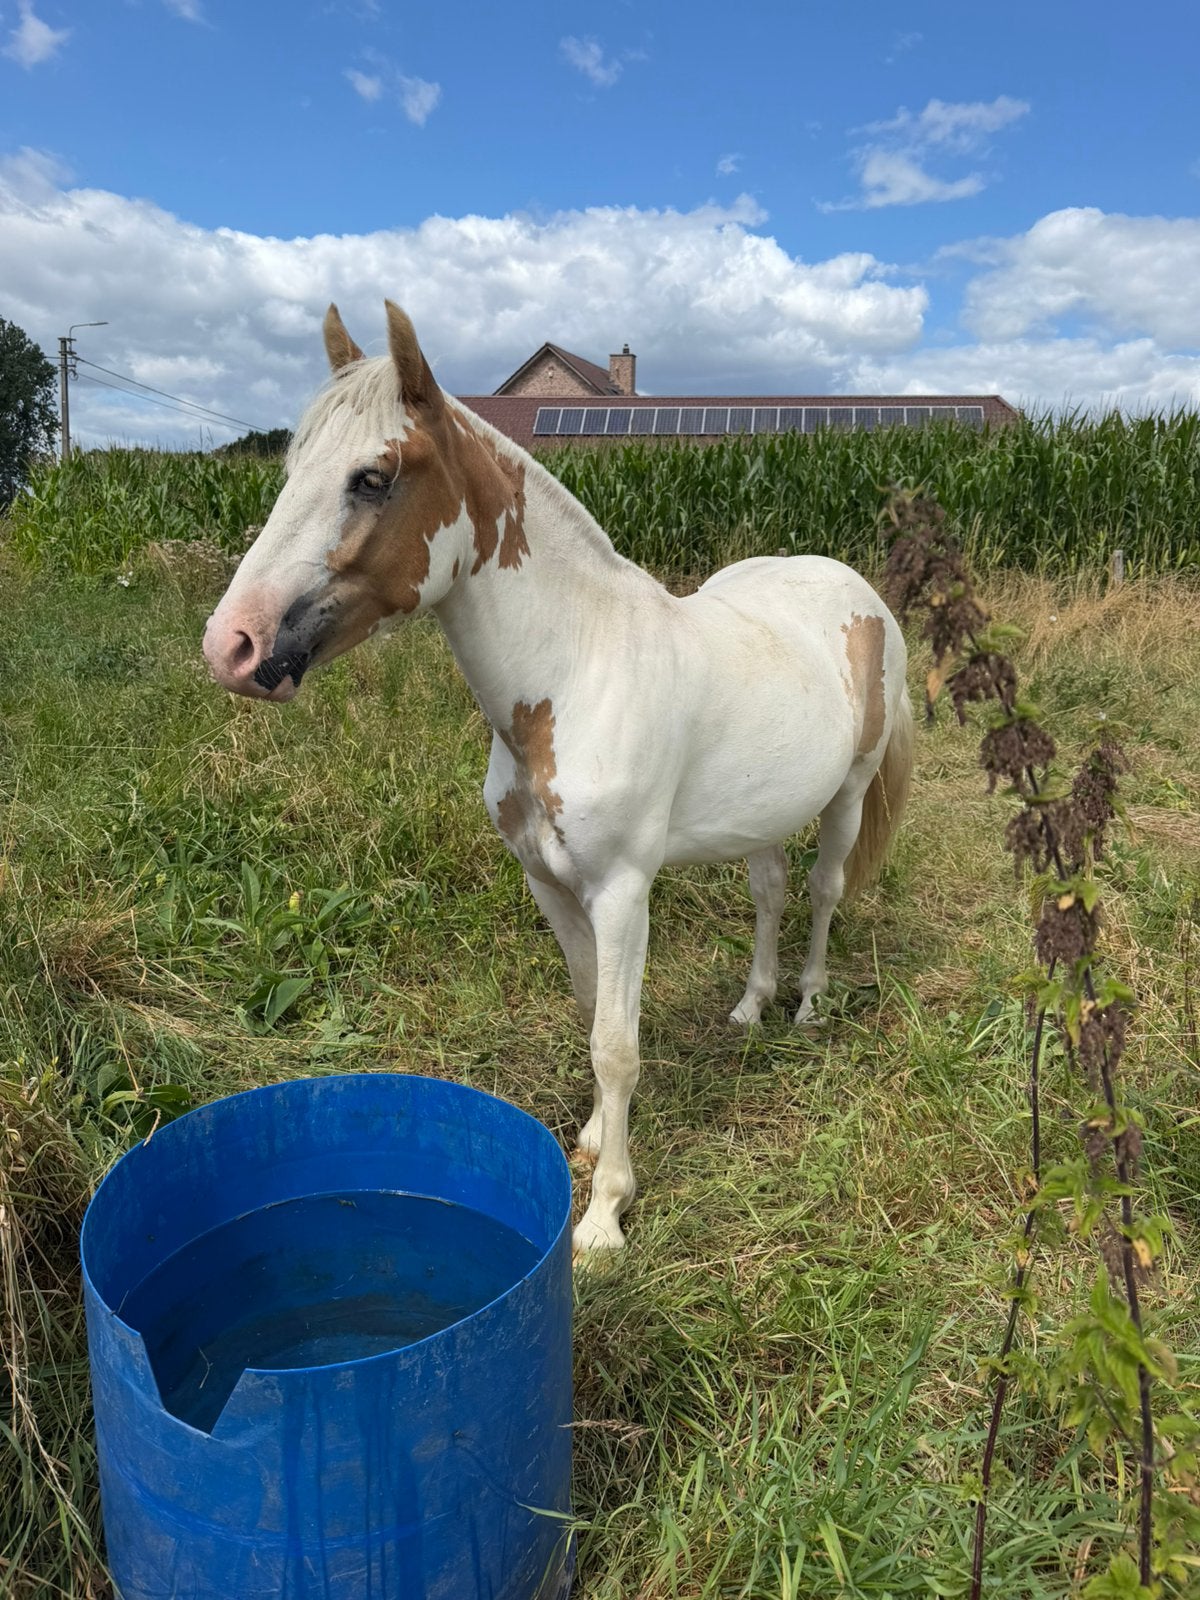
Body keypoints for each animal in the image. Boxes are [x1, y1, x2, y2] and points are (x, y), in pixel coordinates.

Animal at [203, 301, 914, 1254]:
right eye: (290, 469)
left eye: (372, 477)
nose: (232, 646)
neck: (577, 673)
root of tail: (855, 591)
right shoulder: (548, 882)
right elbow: (588, 1012)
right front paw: (592, 1139)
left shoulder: (621, 891)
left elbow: (616, 1042)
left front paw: (606, 1213)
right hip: (758, 814)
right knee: (768, 892)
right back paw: (749, 1008)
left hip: (849, 792)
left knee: (825, 889)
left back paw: (806, 1007)